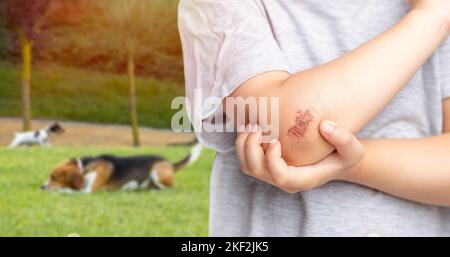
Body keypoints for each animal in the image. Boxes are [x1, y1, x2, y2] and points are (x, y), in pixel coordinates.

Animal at [41, 142, 203, 192]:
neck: (83, 168)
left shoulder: (88, 191)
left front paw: (57, 191)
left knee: (169, 188)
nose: (41, 187)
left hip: (156, 171)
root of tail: (169, 163)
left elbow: (67, 190)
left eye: (53, 177)